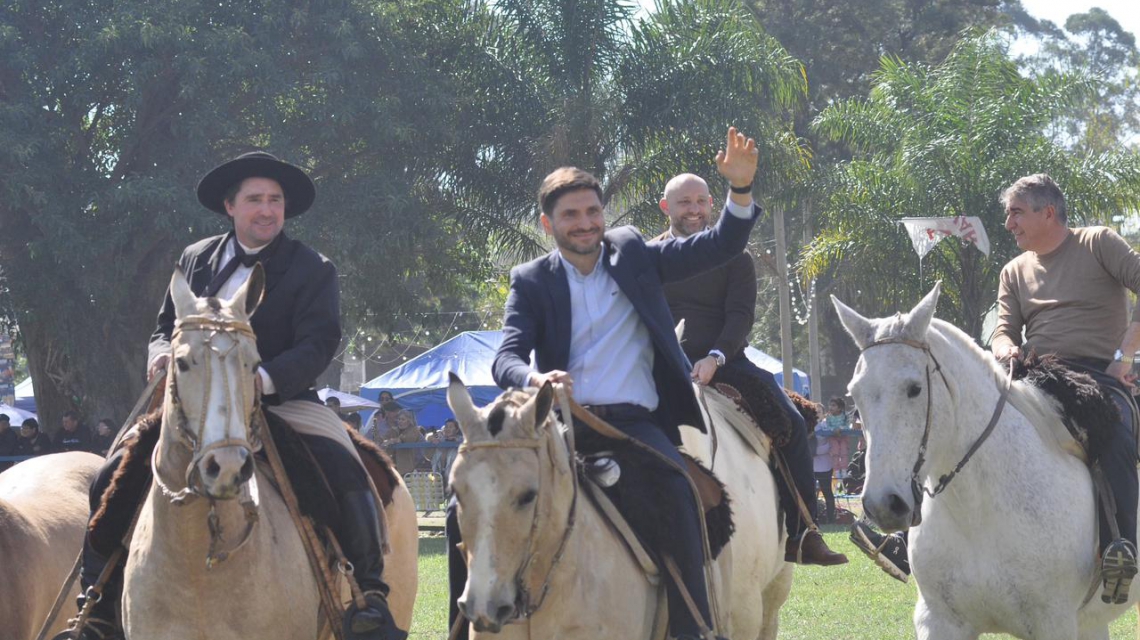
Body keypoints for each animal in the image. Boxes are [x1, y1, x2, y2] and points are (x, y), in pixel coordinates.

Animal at [829, 282, 1140, 638]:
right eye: (855, 393)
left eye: (914, 388)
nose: (883, 505)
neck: (977, 513)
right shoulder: (938, 621)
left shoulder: (1054, 623)